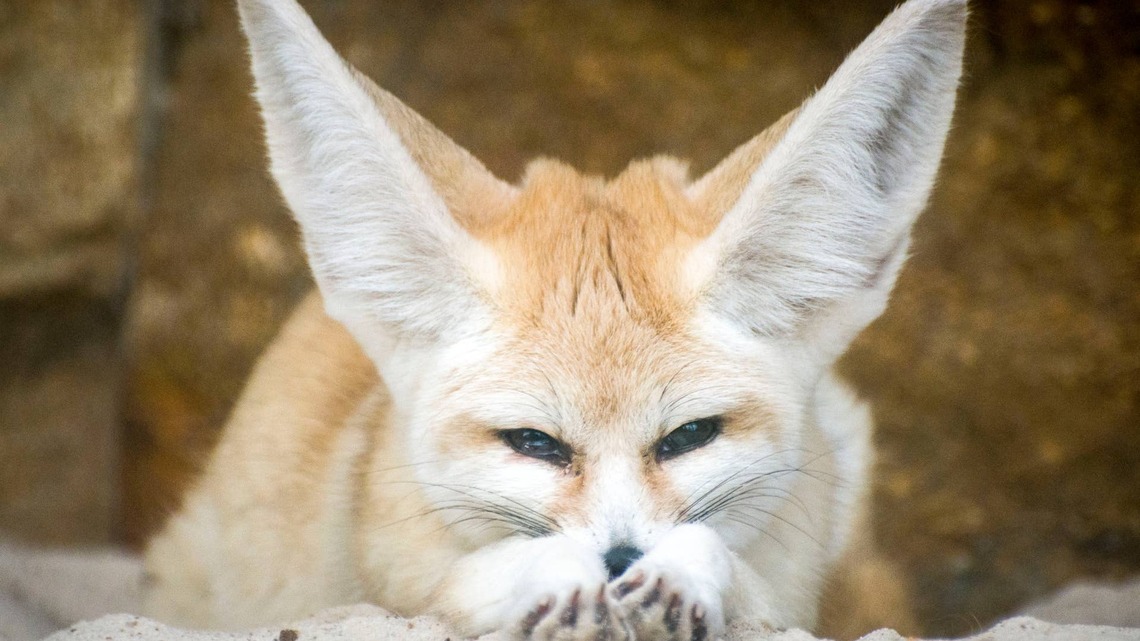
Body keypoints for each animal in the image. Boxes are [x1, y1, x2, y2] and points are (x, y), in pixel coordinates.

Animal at [142, 0, 965, 639]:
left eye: (689, 435)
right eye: (535, 442)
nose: (621, 561)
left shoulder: (791, 593)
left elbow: (735, 567)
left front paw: (683, 573)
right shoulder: (388, 583)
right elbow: (467, 578)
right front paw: (551, 573)